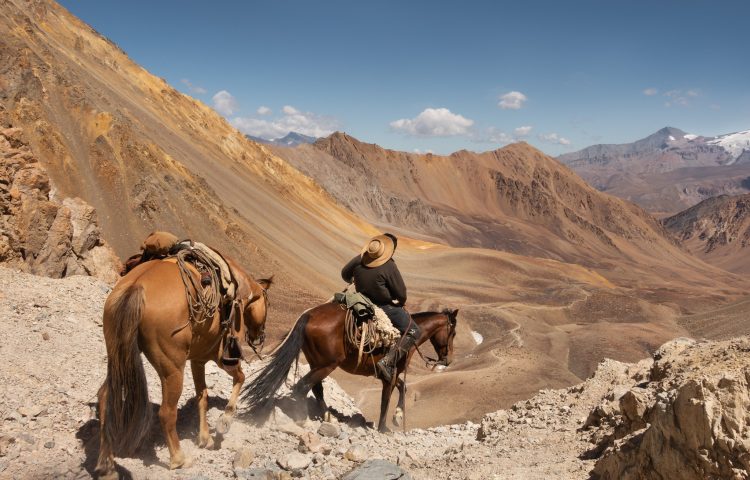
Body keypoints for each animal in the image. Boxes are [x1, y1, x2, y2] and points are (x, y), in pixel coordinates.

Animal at [95, 255, 274, 476]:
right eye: (268, 304)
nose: (260, 336)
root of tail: (136, 287)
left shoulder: (198, 360)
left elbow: (202, 396)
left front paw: (205, 438)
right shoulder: (222, 359)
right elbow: (240, 378)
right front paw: (224, 420)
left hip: (118, 357)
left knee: (105, 397)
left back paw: (107, 464)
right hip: (172, 369)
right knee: (166, 413)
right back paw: (179, 460)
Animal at [244, 304, 462, 432]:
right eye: (453, 333)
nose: (448, 360)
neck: (408, 336)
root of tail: (309, 316)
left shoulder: (386, 374)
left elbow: (403, 387)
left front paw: (398, 417)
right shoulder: (389, 374)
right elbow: (386, 399)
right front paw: (384, 427)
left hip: (317, 363)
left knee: (316, 388)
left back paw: (327, 417)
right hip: (327, 365)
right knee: (303, 386)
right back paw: (303, 418)